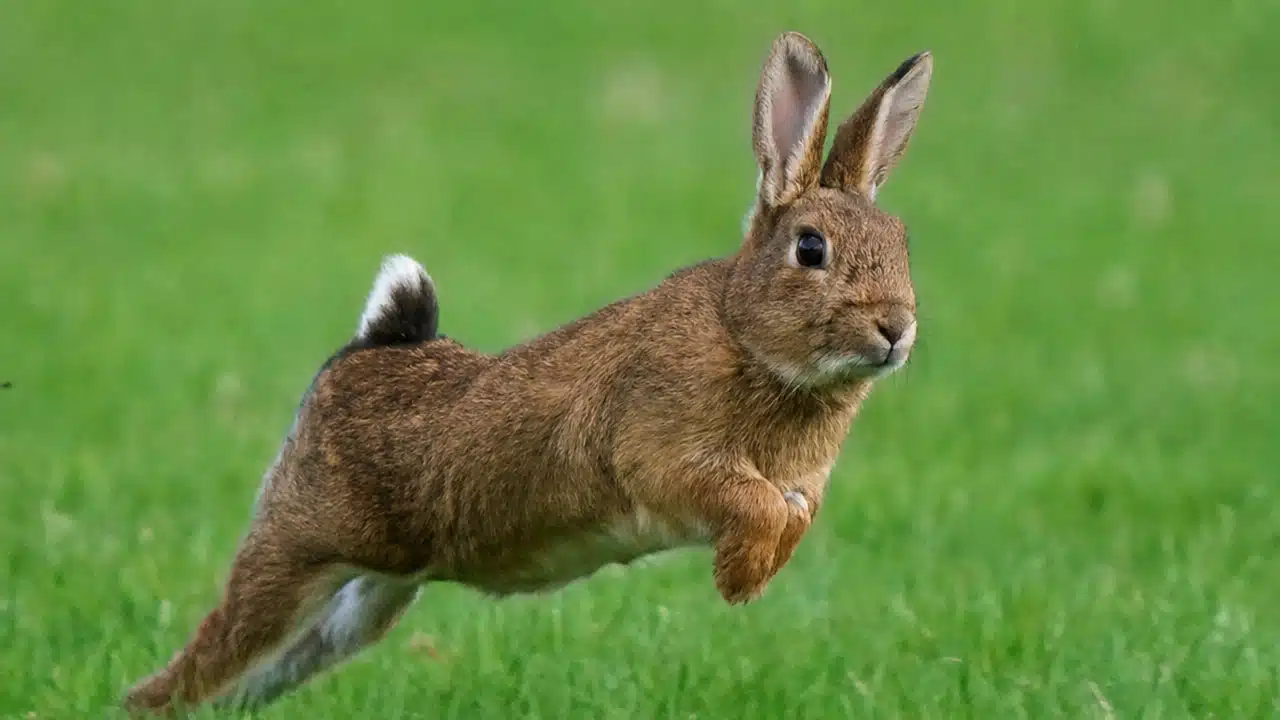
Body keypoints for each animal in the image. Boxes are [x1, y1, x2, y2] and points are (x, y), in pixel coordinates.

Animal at [122, 31, 934, 715]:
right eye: (810, 248)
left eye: (901, 241)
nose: (896, 329)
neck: (744, 334)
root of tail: (368, 348)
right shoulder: (664, 456)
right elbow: (753, 504)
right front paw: (738, 580)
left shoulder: (797, 487)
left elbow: (790, 515)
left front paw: (749, 578)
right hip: (295, 546)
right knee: (214, 653)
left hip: (373, 594)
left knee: (281, 664)